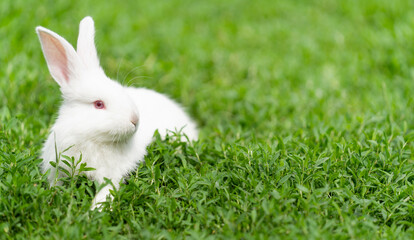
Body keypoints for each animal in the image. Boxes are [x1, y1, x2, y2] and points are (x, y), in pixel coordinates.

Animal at [36, 15, 198, 209]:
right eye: (99, 104)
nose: (135, 120)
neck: (92, 139)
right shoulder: (56, 169)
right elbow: (55, 185)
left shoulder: (110, 176)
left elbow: (105, 193)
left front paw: (93, 211)